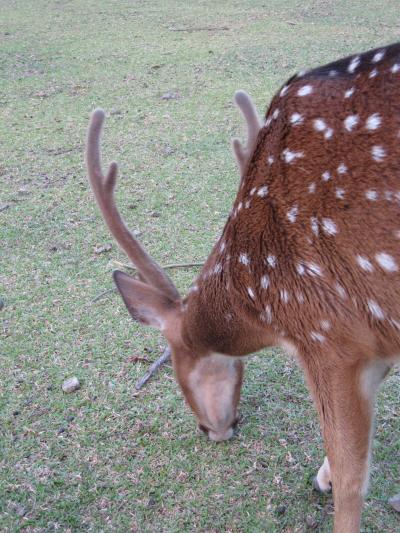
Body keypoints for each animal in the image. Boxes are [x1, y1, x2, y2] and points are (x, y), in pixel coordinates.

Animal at [85, 42, 400, 532]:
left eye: (173, 359)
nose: (214, 430)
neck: (261, 300)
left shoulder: (331, 336)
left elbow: (353, 480)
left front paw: (331, 483)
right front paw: (322, 475)